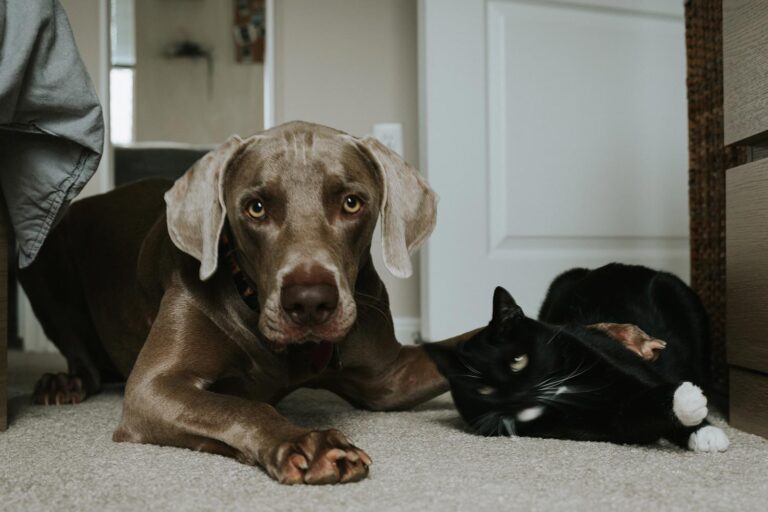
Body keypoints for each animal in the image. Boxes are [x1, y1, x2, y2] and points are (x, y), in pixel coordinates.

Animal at [19, 120, 656, 484]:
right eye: (255, 207)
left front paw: (610, 334)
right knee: (79, 352)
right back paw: (61, 383)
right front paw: (307, 441)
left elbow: (463, 342)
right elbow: (241, 407)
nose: (310, 303)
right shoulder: (153, 389)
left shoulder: (388, 376)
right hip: (44, 259)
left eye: (352, 202)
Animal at [426, 264, 732, 452]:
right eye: (484, 389)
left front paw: (704, 430)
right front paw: (686, 403)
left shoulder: (613, 357)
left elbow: (650, 383)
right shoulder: (601, 425)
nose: (517, 397)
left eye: (518, 361)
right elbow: (636, 416)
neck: (564, 389)